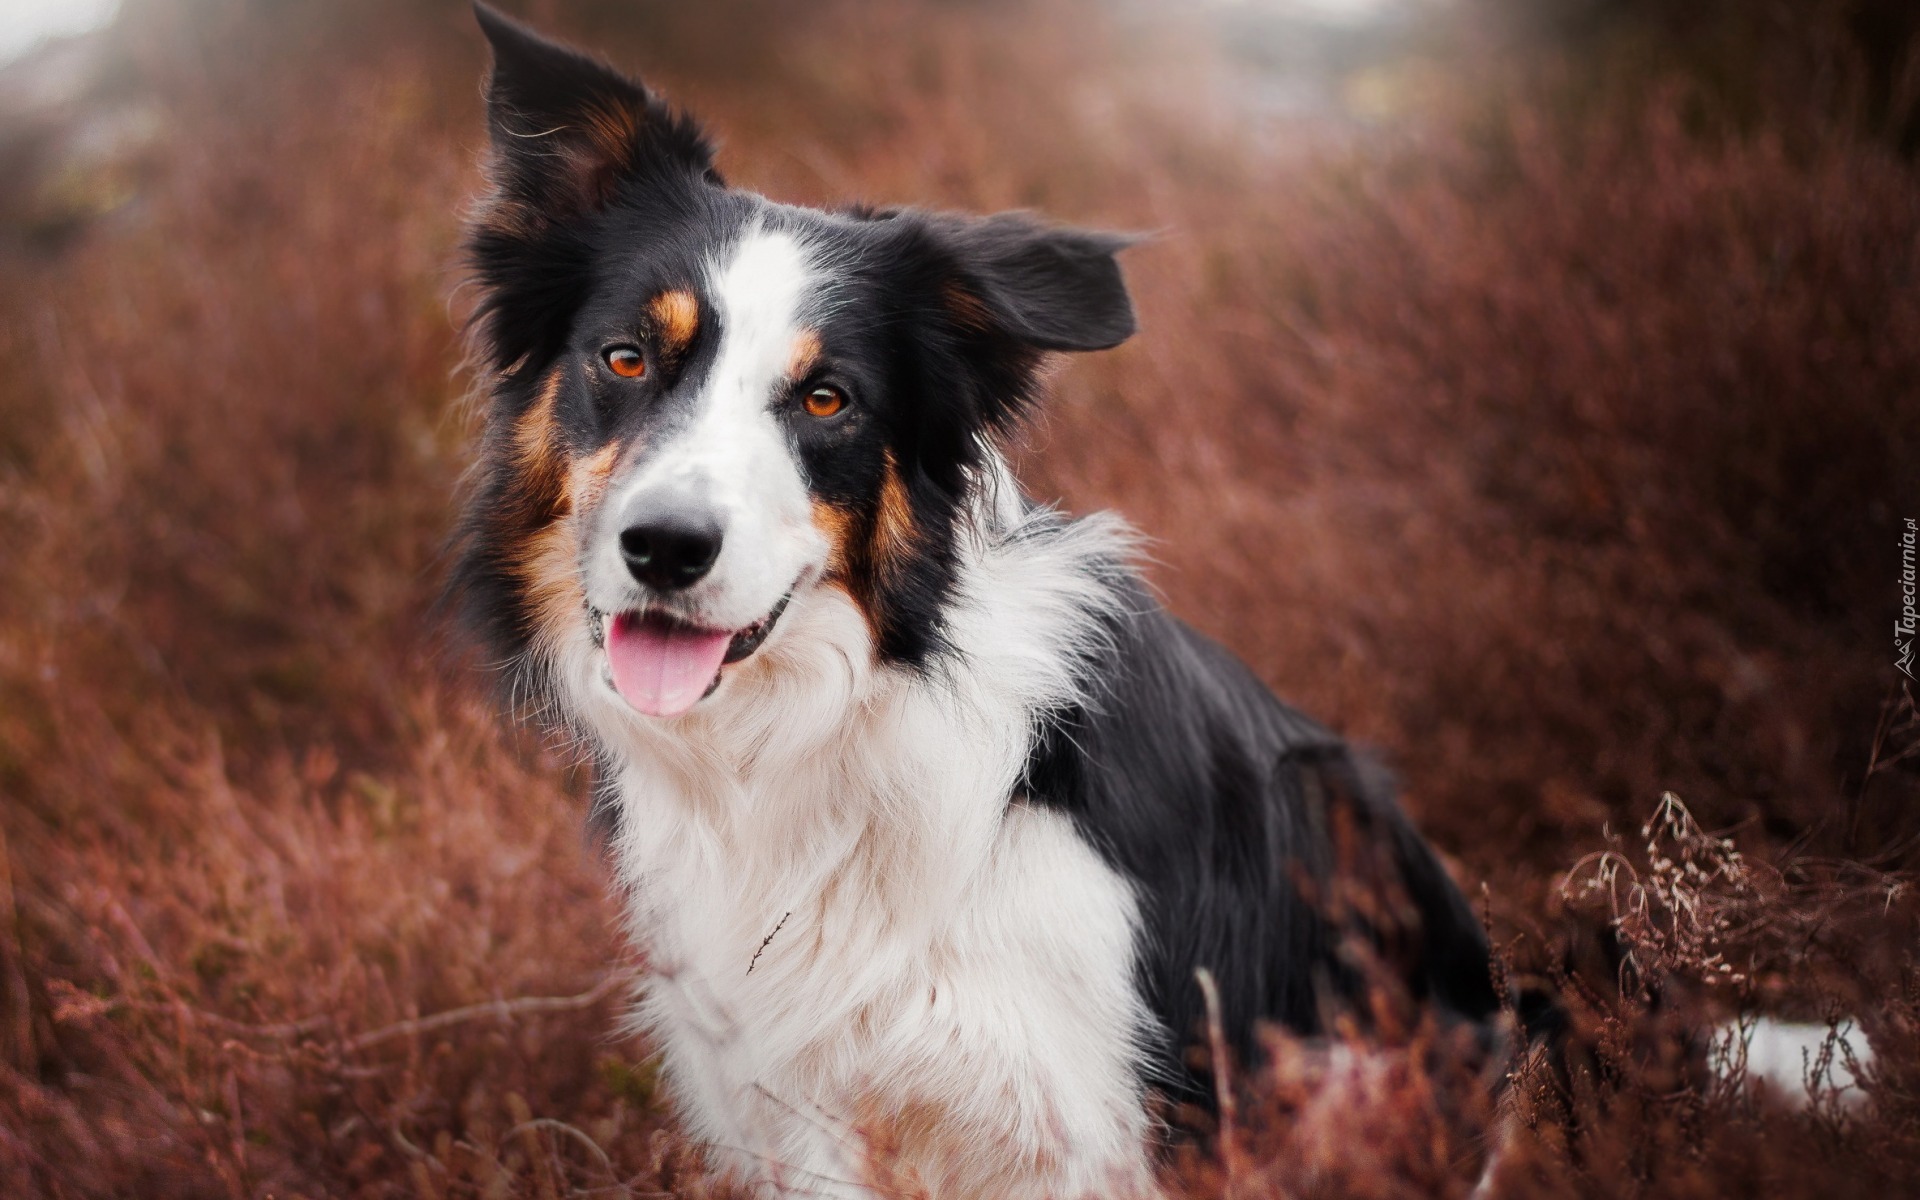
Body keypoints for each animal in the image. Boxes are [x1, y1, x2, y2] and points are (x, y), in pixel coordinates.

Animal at [456, 4, 1505, 1190]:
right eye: (626, 358)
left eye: (829, 399)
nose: (665, 548)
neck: (826, 732)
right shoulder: (796, 1113)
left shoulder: (1086, 1124)